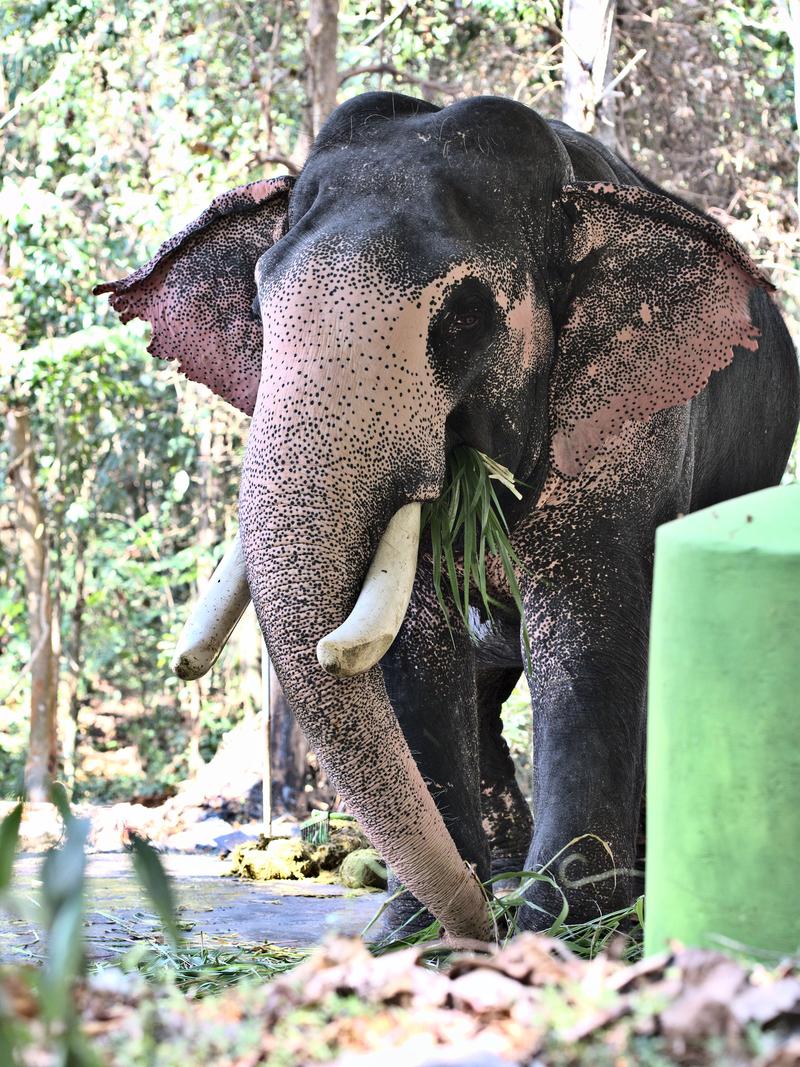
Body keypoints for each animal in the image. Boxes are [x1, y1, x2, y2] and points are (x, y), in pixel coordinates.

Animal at [95, 93, 800, 943]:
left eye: (461, 318)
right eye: (261, 305)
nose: (480, 926)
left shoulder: (634, 430)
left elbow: (587, 628)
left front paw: (563, 929)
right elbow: (416, 644)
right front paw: (414, 935)